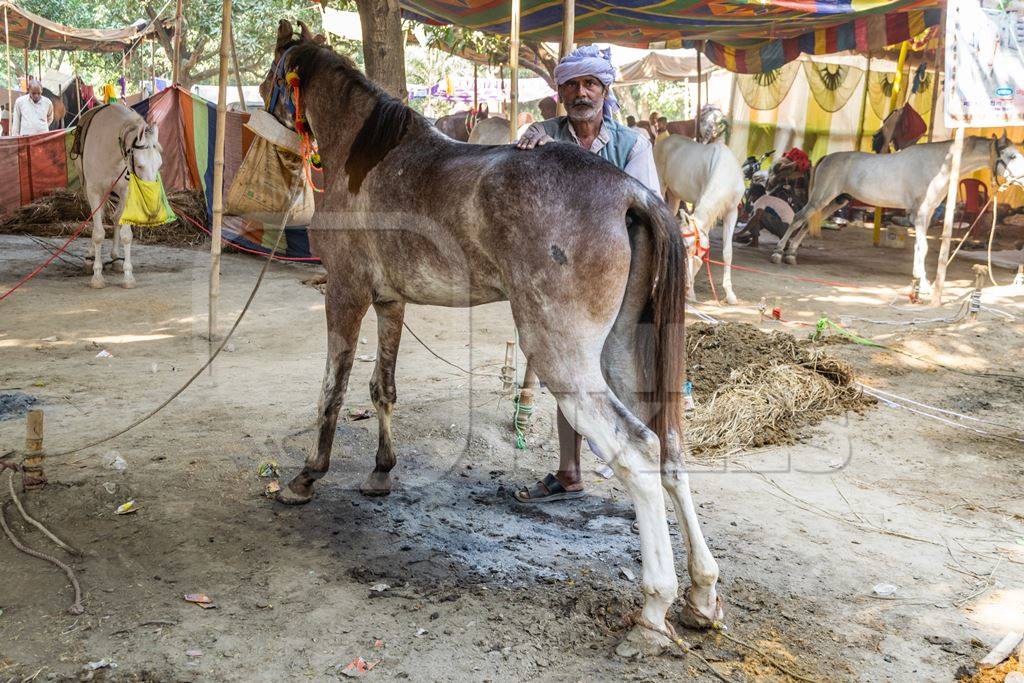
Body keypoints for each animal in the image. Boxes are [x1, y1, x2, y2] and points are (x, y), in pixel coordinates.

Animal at [74, 104, 162, 288]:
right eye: (140, 165)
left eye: (159, 164)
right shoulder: (94, 191)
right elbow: (98, 233)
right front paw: (97, 276)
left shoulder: (126, 192)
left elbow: (126, 234)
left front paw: (128, 276)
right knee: (97, 219)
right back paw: (90, 257)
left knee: (115, 219)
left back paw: (115, 258)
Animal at [264, 21, 724, 651]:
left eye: (272, 72)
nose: (261, 116)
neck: (366, 155)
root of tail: (631, 192)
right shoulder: (390, 302)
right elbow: (382, 389)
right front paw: (381, 473)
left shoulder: (346, 293)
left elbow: (331, 391)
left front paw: (308, 476)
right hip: (621, 355)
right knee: (671, 445)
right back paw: (701, 594)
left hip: (562, 359)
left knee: (638, 451)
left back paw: (655, 608)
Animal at [655, 134, 745, 305]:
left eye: (689, 247)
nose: (684, 286)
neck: (725, 172)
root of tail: (665, 140)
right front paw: (691, 293)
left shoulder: (732, 212)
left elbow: (727, 252)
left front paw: (730, 294)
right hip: (661, 183)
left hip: (674, 195)